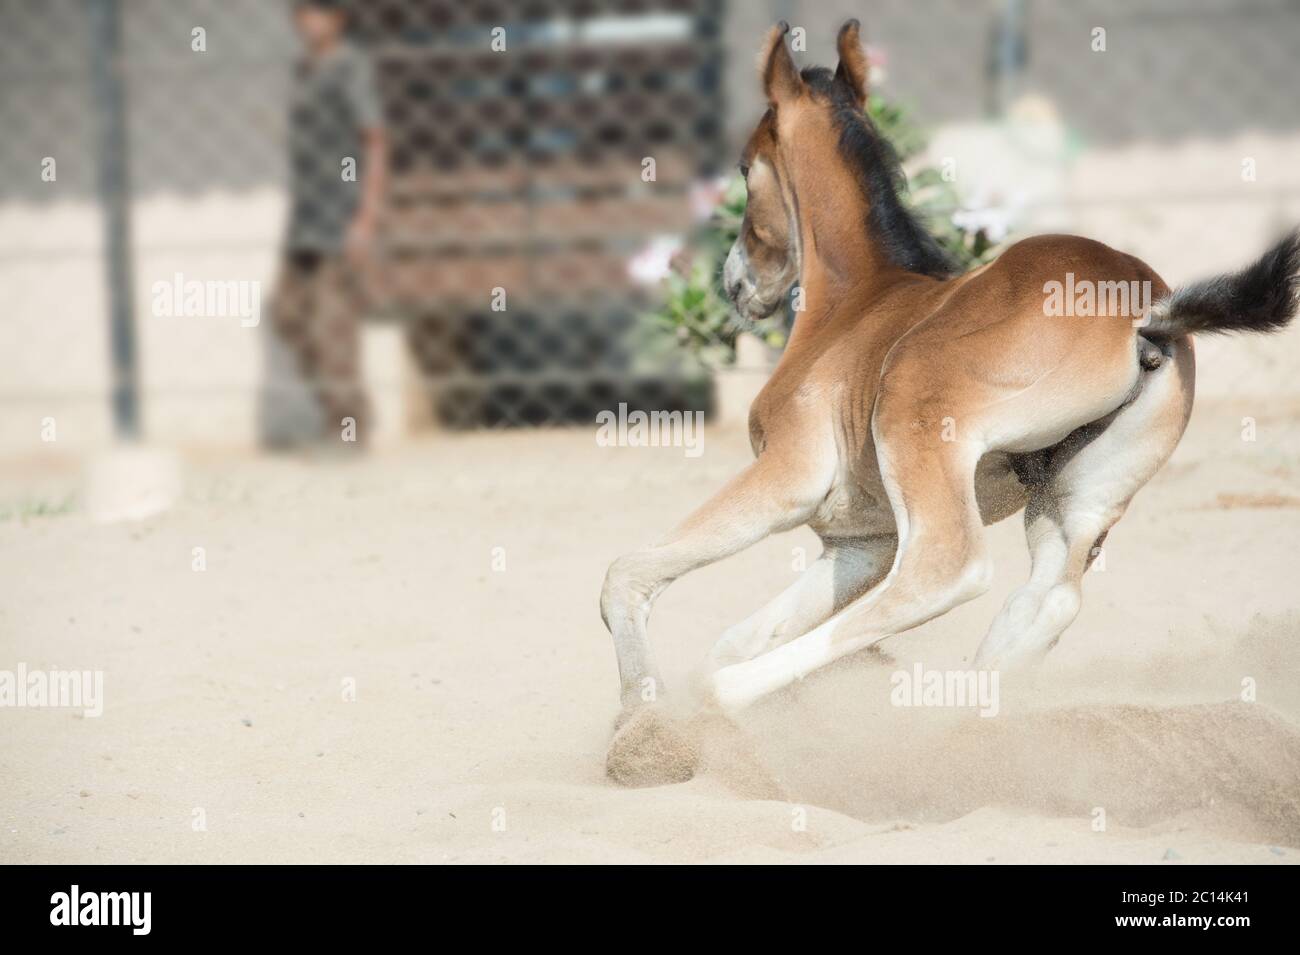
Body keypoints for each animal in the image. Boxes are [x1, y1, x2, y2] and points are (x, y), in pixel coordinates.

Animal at [603, 20, 1300, 779]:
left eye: (742, 166)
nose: (736, 284)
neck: (853, 302)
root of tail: (1146, 305)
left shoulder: (788, 477)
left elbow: (627, 576)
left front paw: (641, 729)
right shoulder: (861, 539)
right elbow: (737, 632)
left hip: (915, 422)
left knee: (946, 570)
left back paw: (737, 703)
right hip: (1073, 503)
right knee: (1049, 600)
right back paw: (956, 732)